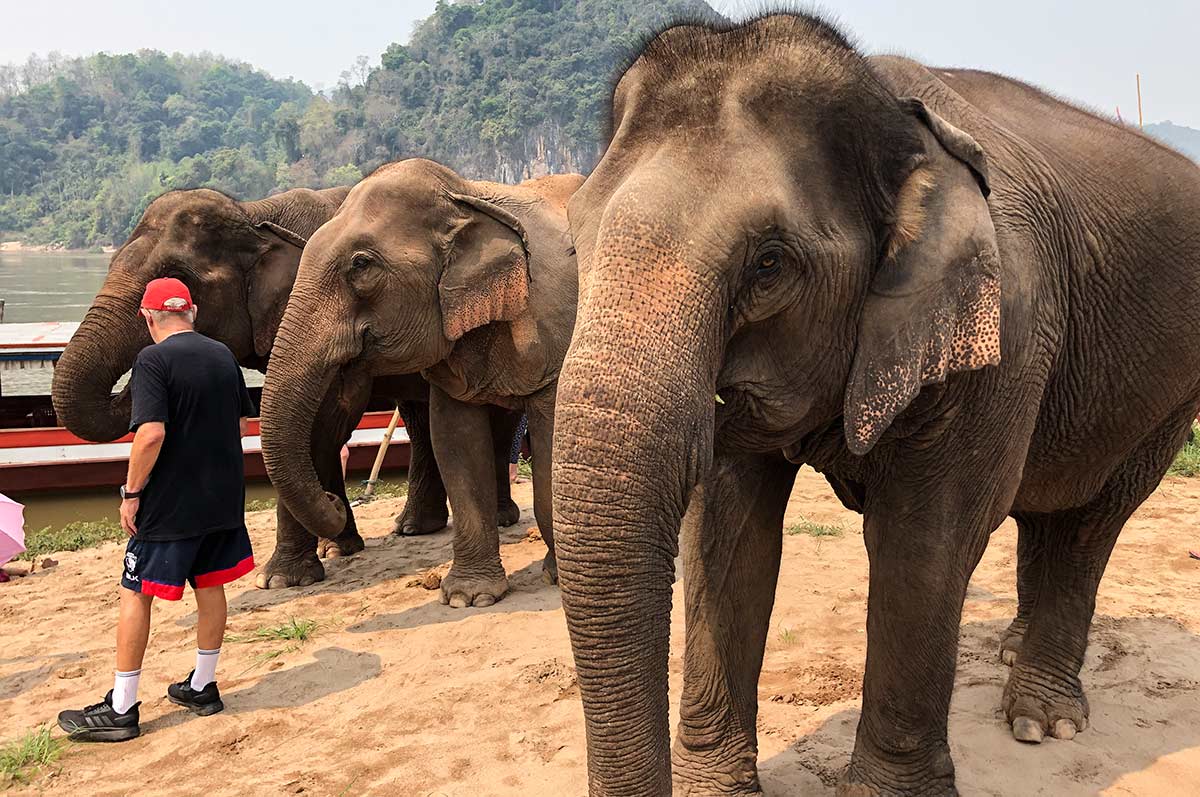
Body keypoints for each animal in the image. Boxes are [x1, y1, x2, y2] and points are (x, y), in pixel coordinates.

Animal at [50, 185, 521, 590]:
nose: (333, 502)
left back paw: (499, 519)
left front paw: (283, 578)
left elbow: (328, 420)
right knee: (419, 417)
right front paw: (338, 547)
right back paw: (411, 529)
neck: (255, 214)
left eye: (177, 276)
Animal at [259, 158, 583, 607]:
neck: (465, 196)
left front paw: (558, 578)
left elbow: (553, 434)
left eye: (361, 265)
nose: (336, 502)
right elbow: (455, 440)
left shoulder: (557, 320)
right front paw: (469, 597)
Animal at [551, 12, 1200, 796]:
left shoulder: (1006, 328)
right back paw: (1013, 652)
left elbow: (924, 540)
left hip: (1169, 391)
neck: (894, 114)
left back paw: (1040, 720)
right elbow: (725, 532)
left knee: (1091, 518)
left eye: (769, 263)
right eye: (577, 244)